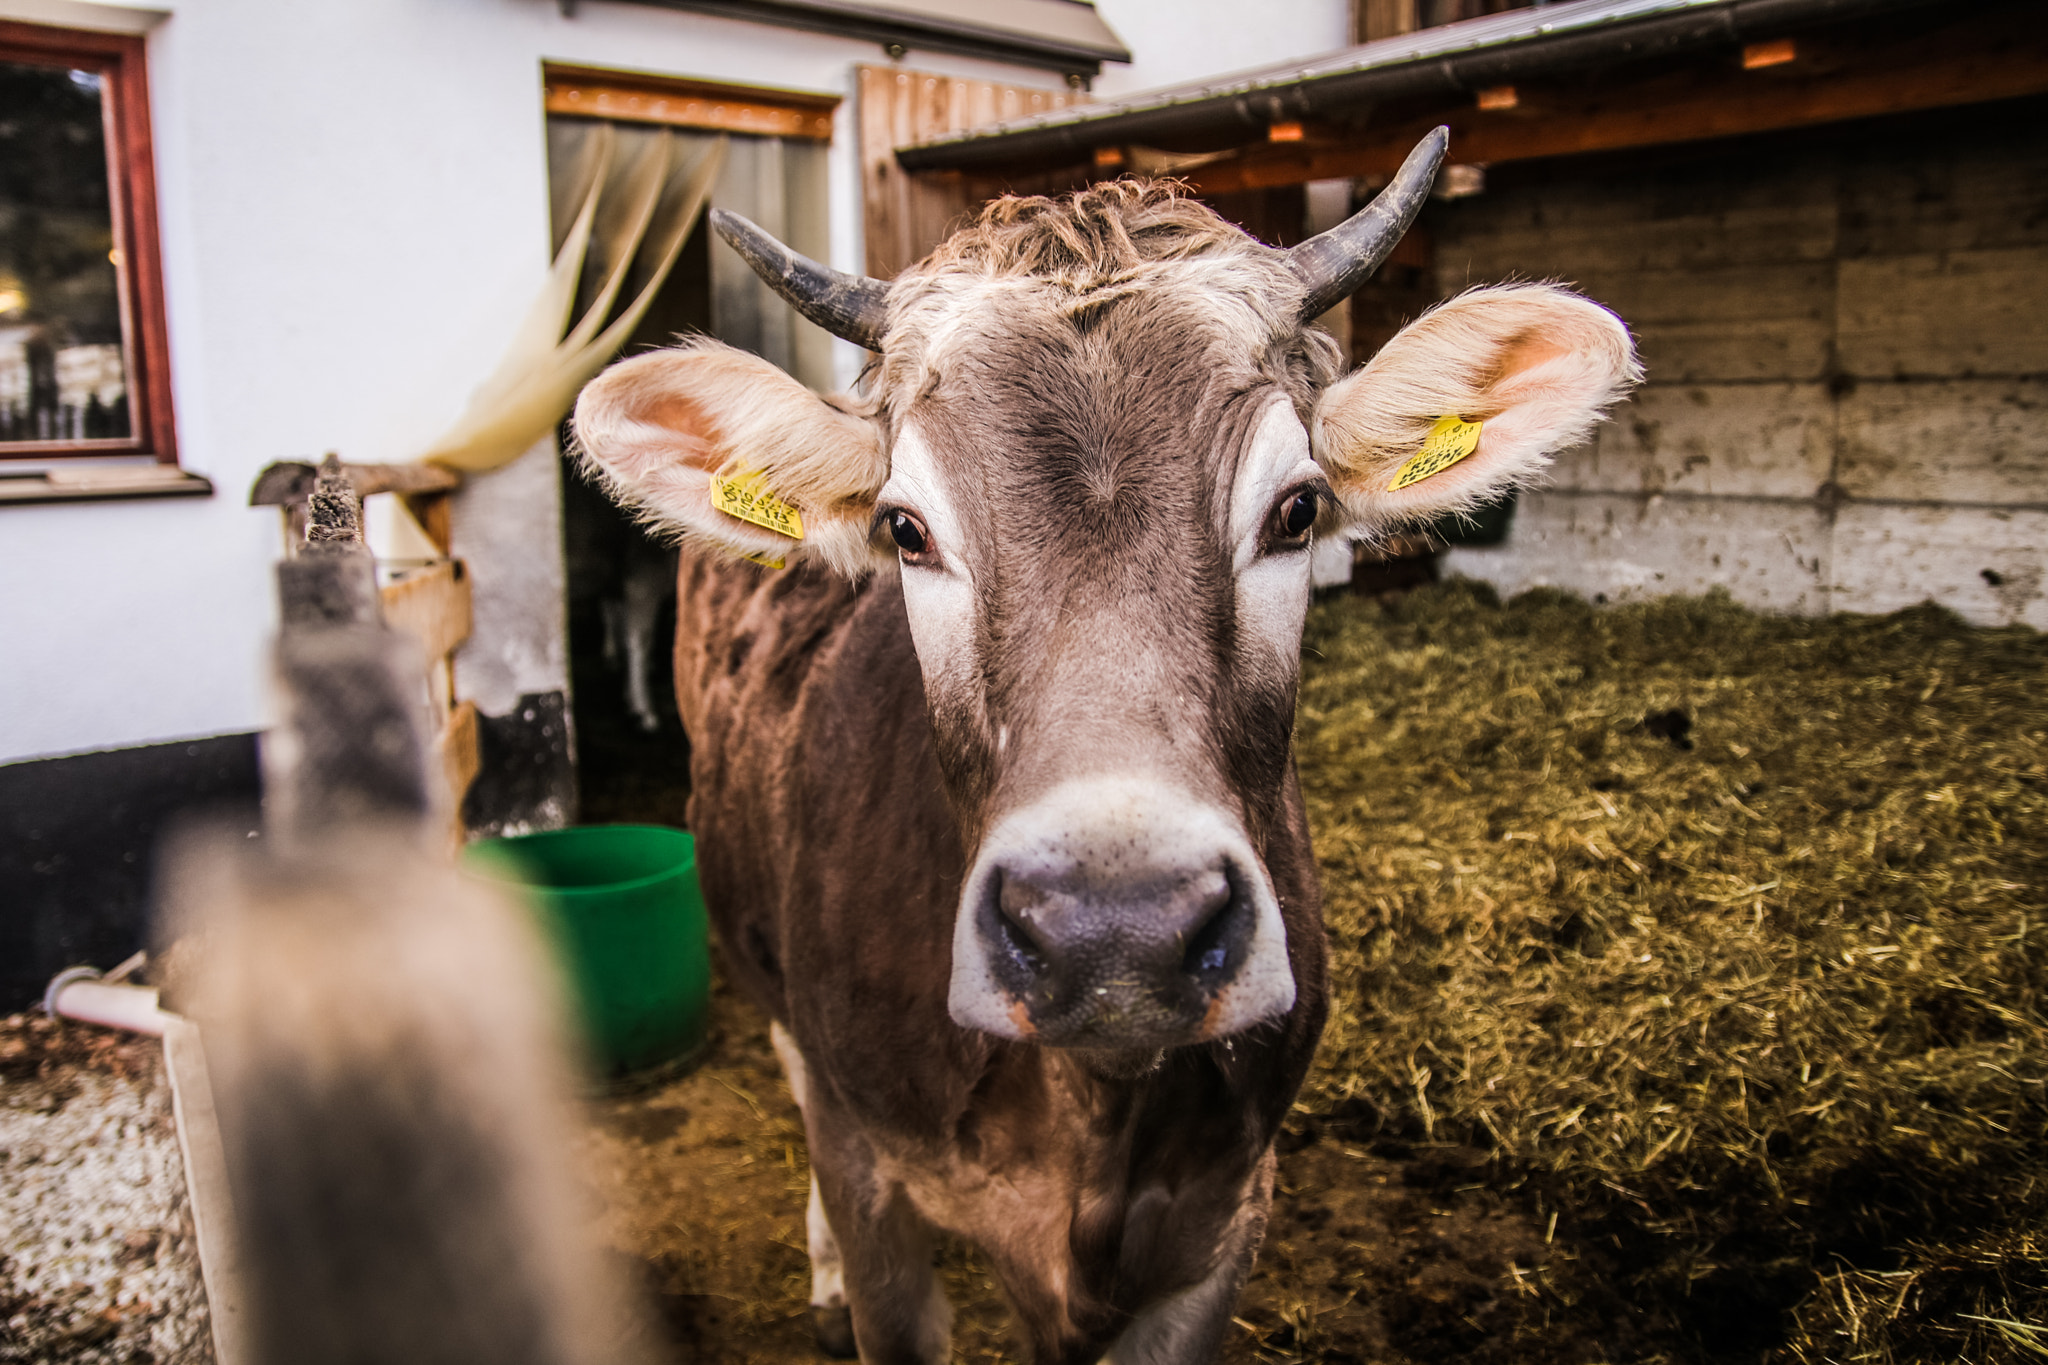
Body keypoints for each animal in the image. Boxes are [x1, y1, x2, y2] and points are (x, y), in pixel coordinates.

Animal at [573, 130, 1630, 1365]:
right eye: (903, 530)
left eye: (1296, 512)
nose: (1115, 934)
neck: (1093, 1114)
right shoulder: (874, 1175)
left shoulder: (1223, 1218)